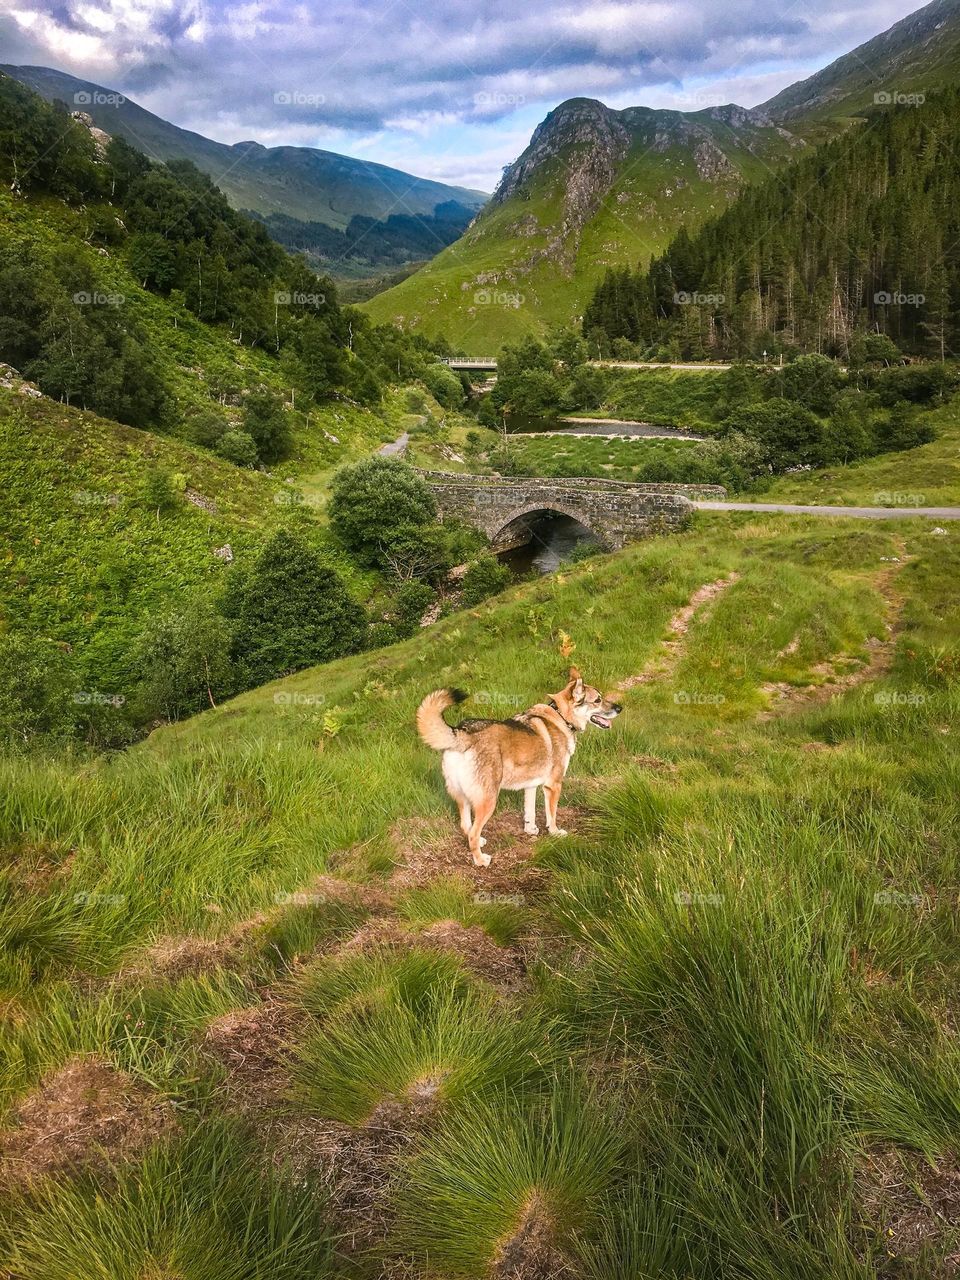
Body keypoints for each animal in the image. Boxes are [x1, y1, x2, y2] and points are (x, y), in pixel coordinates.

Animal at [414, 670, 624, 870]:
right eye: (597, 700)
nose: (619, 708)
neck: (561, 717)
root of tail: (462, 733)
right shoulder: (553, 786)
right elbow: (552, 816)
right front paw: (555, 833)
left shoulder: (531, 786)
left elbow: (529, 812)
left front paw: (530, 830)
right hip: (488, 800)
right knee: (472, 831)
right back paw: (480, 859)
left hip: (463, 797)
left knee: (466, 826)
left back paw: (479, 843)